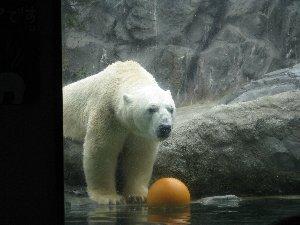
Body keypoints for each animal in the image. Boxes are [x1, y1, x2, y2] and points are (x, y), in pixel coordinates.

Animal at [63, 60, 176, 205]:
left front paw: (137, 195)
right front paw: (109, 197)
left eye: (171, 109)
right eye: (151, 109)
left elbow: (139, 155)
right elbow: (102, 150)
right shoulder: (107, 113)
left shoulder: (140, 131)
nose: (165, 127)